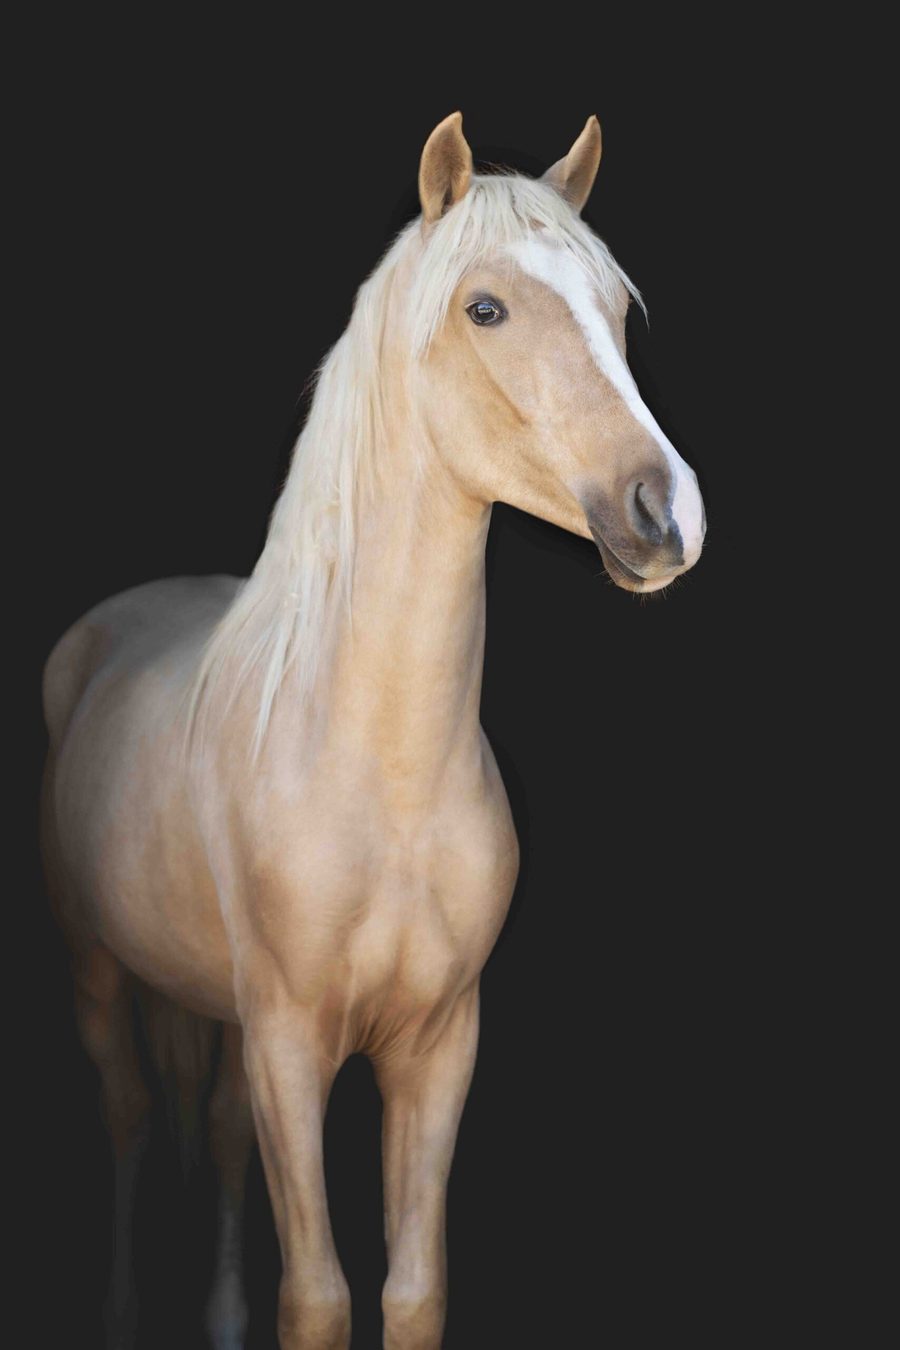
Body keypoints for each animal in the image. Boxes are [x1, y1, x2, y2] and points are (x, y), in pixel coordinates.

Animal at [41, 112, 706, 1349]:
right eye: (484, 308)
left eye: (616, 308)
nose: (667, 512)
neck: (377, 773)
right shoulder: (290, 1046)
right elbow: (318, 1297)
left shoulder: (437, 1049)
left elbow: (411, 1289)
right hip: (100, 977)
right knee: (129, 1117)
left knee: (215, 1130)